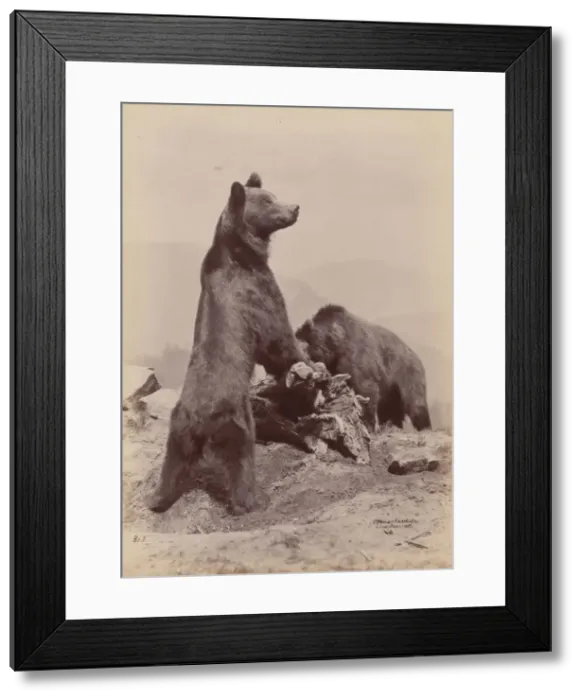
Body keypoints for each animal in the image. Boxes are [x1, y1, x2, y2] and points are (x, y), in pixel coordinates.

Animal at [147, 172, 310, 516]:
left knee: (171, 467)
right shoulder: (257, 291)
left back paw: (156, 500)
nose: (295, 208)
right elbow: (278, 336)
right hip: (235, 421)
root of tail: (198, 420)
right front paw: (308, 360)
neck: (240, 250)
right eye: (268, 200)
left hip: (177, 433)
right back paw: (252, 500)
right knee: (242, 459)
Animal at [295, 304, 432, 433]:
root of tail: (416, 356)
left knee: (415, 404)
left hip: (406, 373)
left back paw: (424, 426)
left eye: (304, 346)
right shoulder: (334, 367)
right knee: (391, 409)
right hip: (392, 389)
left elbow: (366, 389)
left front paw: (367, 425)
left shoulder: (356, 358)